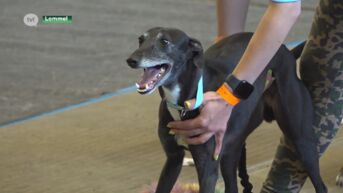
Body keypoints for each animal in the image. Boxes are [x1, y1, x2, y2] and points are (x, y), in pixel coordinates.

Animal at [127, 27, 328, 193]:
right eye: (140, 40)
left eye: (164, 41)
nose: (131, 60)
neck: (185, 101)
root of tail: (286, 52)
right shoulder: (173, 159)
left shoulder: (207, 169)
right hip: (232, 151)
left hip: (302, 140)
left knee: (320, 184)